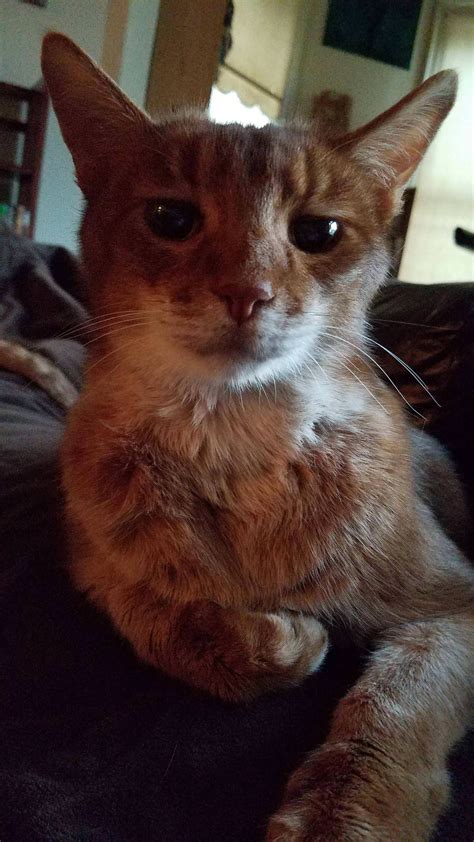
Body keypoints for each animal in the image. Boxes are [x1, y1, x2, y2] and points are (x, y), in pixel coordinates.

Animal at [41, 34, 474, 840]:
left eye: (319, 233)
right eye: (171, 218)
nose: (248, 291)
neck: (234, 442)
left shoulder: (457, 601)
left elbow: (398, 705)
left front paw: (342, 813)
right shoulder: (91, 557)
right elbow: (158, 615)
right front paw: (282, 641)